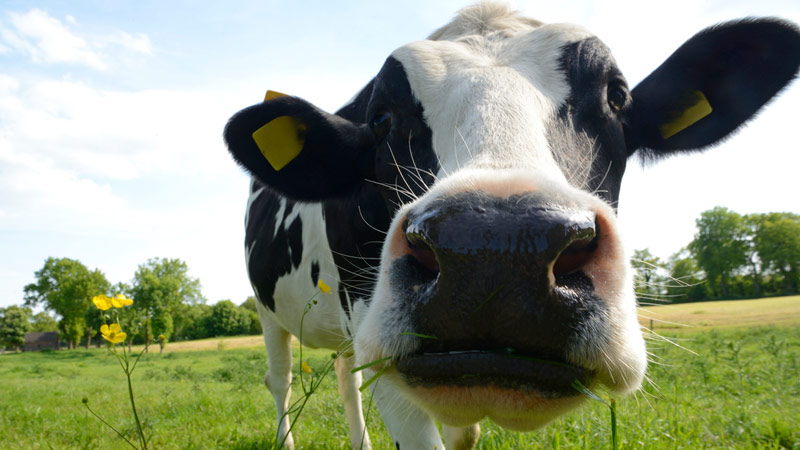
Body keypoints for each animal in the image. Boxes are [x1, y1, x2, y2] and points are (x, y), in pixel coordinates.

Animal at [224, 3, 800, 449]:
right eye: (381, 117)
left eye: (616, 96)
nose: (496, 247)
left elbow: (463, 434)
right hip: (269, 311)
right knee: (282, 381)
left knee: (344, 376)